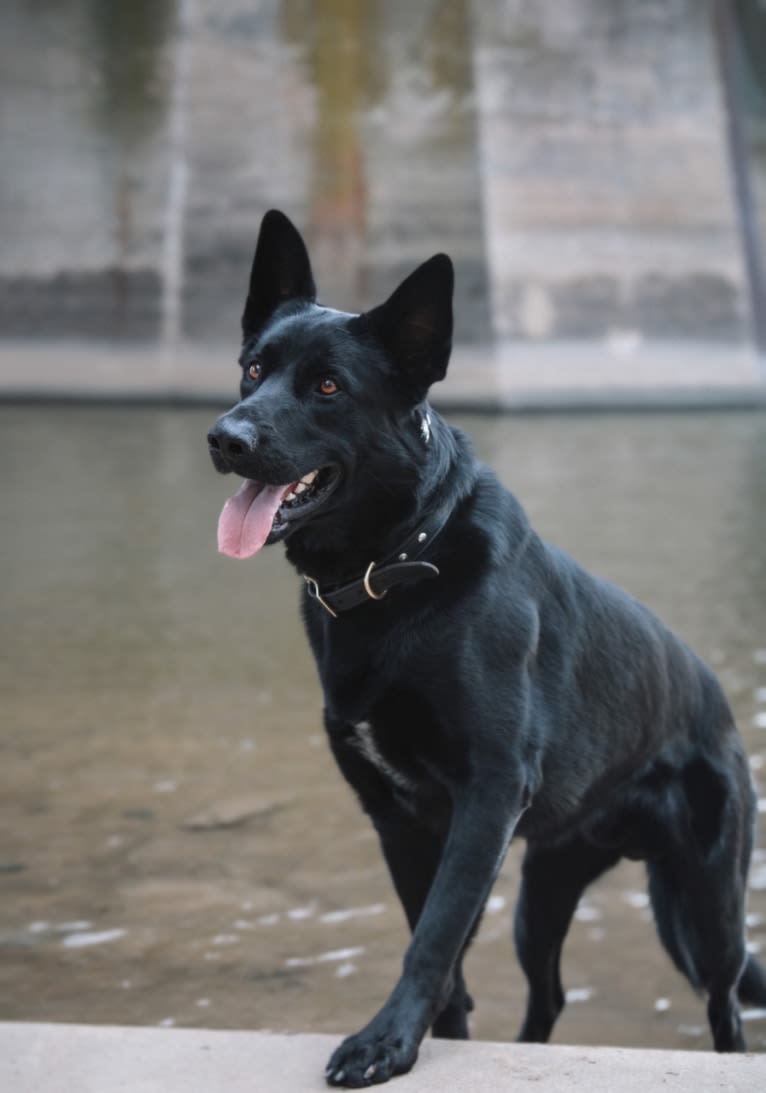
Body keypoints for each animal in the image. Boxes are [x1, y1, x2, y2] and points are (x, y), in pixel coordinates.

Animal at [206, 208, 760, 1079]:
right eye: (252, 369)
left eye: (328, 387)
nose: (223, 438)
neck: (393, 568)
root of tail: (718, 702)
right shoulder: (399, 819)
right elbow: (446, 957)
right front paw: (428, 1036)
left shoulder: (486, 796)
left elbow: (434, 937)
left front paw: (383, 1043)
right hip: (542, 894)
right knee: (549, 996)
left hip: (705, 910)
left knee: (725, 1003)